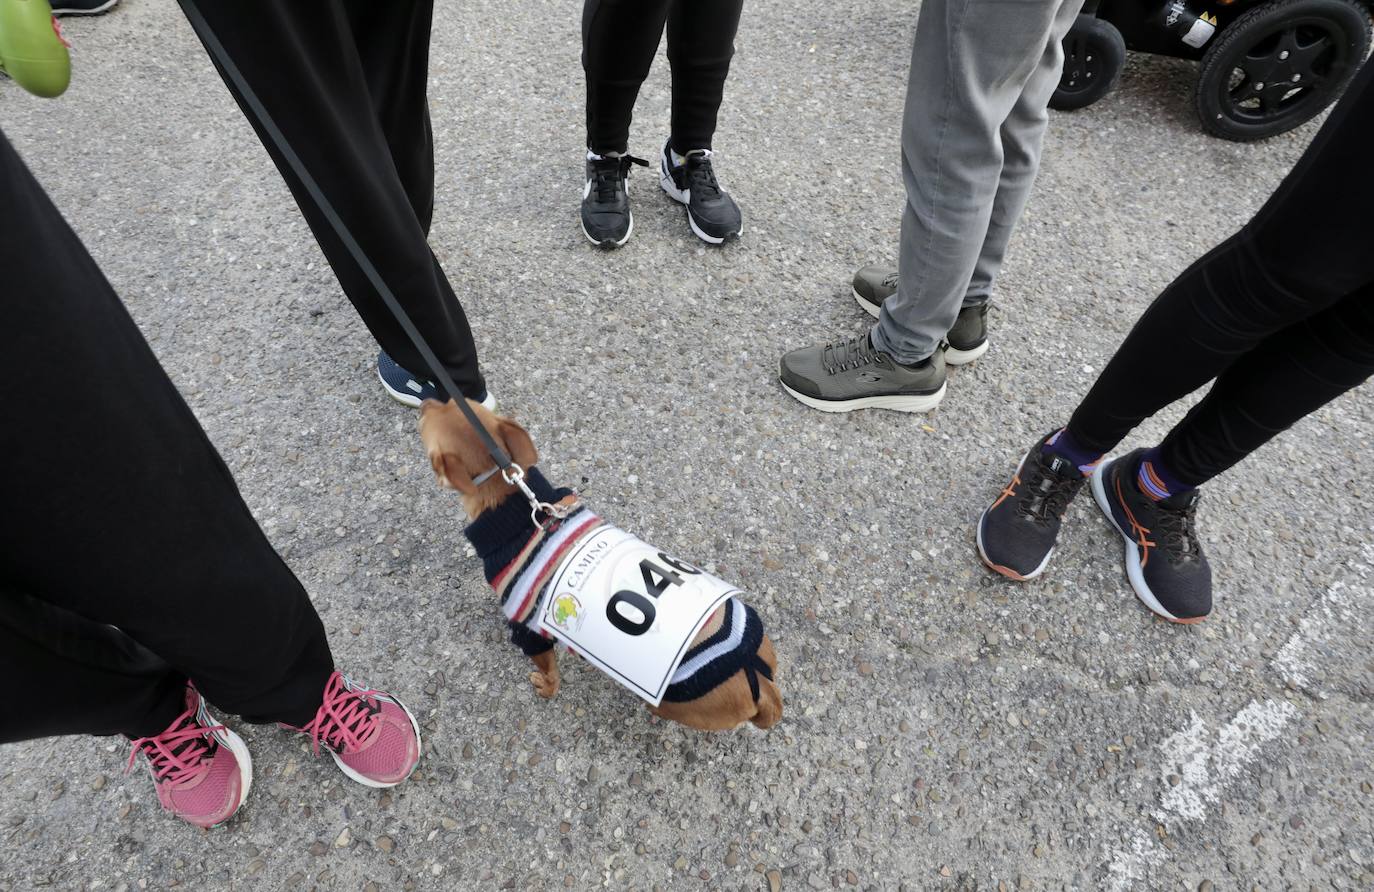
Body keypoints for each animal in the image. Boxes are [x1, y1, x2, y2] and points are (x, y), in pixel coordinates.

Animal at [417, 398, 785, 731]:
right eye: (452, 401)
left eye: (424, 431)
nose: (424, 401)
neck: (517, 509)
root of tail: (759, 679)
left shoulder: (528, 631)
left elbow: (549, 671)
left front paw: (546, 687)